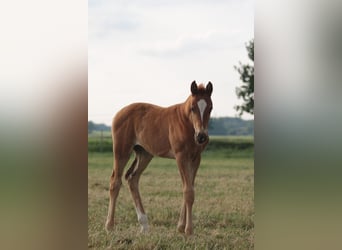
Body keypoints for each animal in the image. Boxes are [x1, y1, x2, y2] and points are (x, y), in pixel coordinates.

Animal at [106, 81, 214, 235]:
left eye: (210, 108)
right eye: (193, 108)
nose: (201, 136)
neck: (186, 123)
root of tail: (118, 113)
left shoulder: (196, 158)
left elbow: (189, 188)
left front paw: (181, 227)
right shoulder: (181, 156)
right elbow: (188, 191)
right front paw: (188, 230)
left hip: (144, 153)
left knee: (132, 178)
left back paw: (144, 225)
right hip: (122, 150)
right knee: (115, 181)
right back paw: (109, 226)